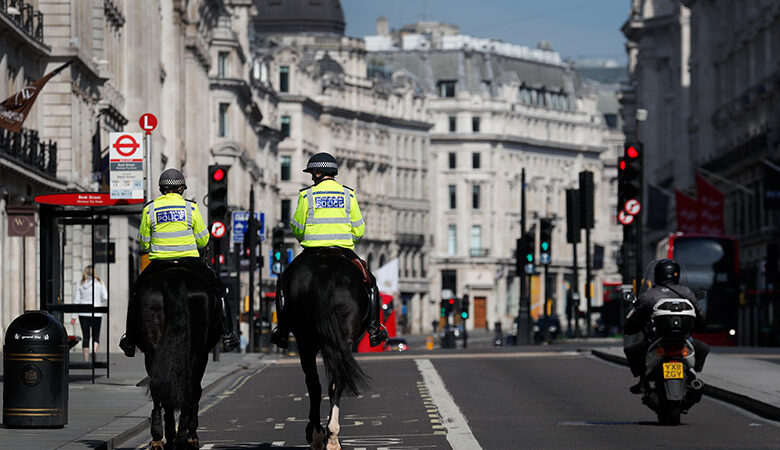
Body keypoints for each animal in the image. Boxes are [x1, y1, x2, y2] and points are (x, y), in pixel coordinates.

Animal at [127, 266, 219, 448]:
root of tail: (174, 277)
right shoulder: (203, 355)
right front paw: (191, 435)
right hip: (197, 352)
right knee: (190, 388)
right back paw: (182, 435)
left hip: (153, 349)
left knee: (160, 386)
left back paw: (161, 437)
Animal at [280, 248, 372, 448]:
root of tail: (324, 271)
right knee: (337, 380)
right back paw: (331, 437)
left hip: (305, 340)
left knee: (314, 384)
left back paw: (317, 433)